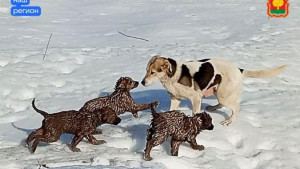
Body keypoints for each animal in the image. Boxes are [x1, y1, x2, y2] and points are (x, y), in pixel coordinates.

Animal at [142, 55, 288, 125]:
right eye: (146, 70)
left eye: (153, 72)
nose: (143, 82)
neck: (171, 76)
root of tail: (238, 69)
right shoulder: (175, 99)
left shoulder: (196, 98)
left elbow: (195, 114)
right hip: (219, 93)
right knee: (223, 104)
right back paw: (213, 108)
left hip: (224, 94)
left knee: (236, 108)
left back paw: (229, 121)